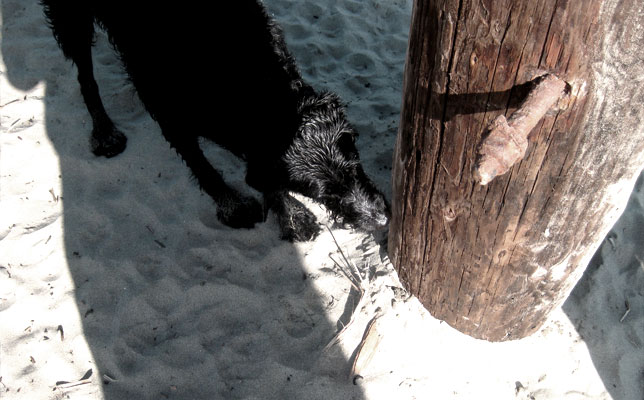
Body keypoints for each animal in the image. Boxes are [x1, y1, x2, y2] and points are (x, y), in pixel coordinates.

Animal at [42, 0, 390, 241]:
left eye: (355, 168)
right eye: (325, 196)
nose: (382, 221)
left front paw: (288, 214)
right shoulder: (166, 108)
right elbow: (203, 166)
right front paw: (235, 206)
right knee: (85, 73)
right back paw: (104, 131)